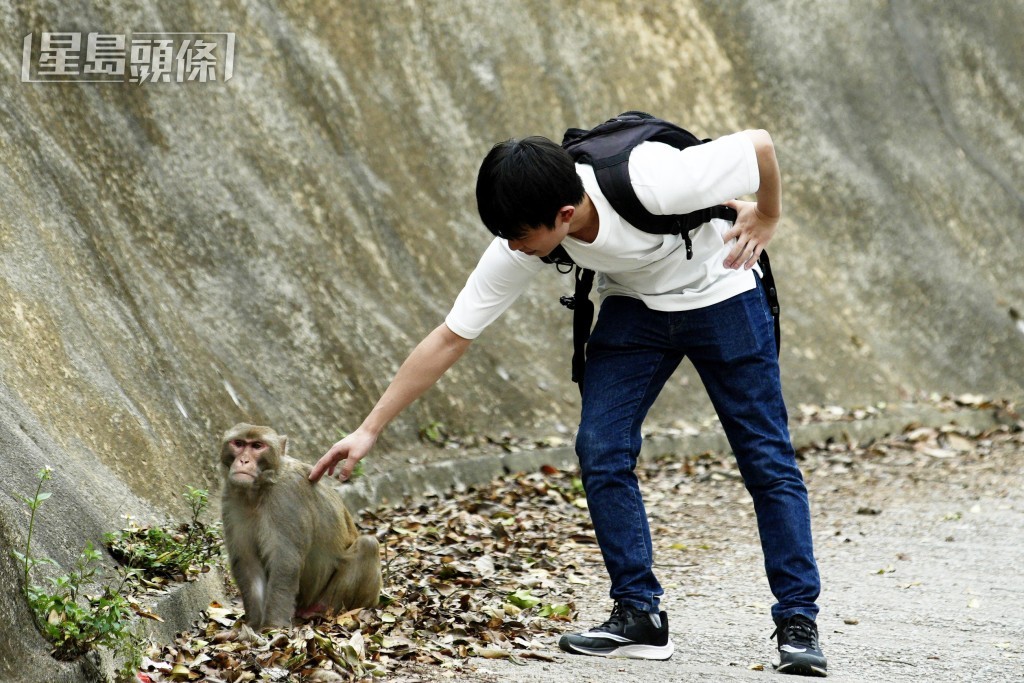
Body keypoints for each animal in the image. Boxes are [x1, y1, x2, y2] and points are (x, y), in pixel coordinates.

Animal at [218, 421, 382, 630]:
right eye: (238, 443)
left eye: (257, 446)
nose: (244, 461)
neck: (259, 490)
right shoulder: (232, 498)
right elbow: (247, 562)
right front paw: (253, 624)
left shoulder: (287, 496)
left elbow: (285, 562)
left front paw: (272, 626)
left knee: (368, 545)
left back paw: (320, 610)